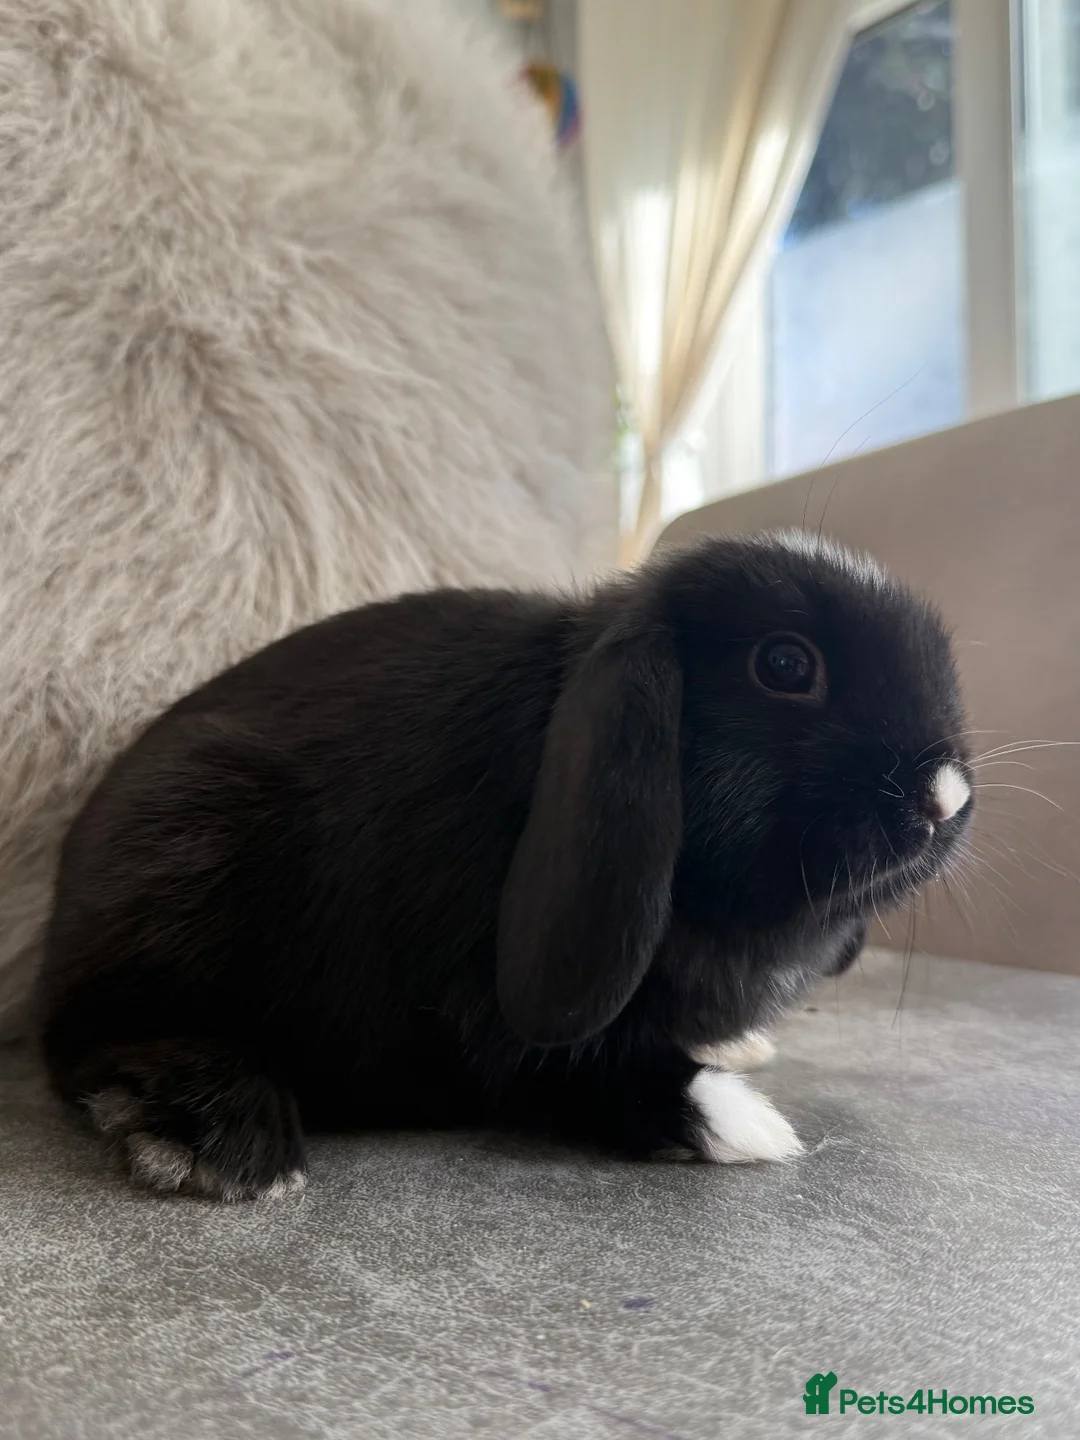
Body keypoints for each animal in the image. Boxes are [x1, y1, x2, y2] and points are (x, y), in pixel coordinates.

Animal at [36, 532, 973, 1200]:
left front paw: (740, 1050)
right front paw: (746, 1125)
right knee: (89, 1043)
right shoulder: (491, 1015)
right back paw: (226, 1141)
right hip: (184, 859)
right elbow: (575, 1070)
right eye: (784, 664)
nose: (947, 796)